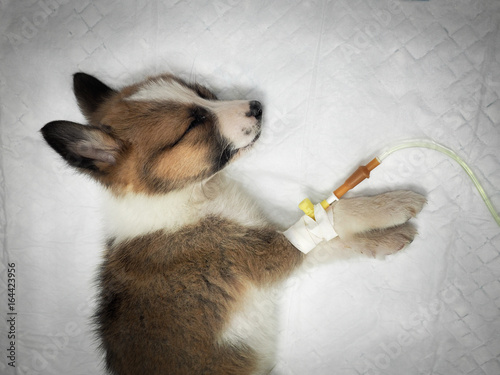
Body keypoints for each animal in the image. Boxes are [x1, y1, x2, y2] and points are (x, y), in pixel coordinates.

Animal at [42, 72, 426, 374]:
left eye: (202, 91)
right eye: (193, 124)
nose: (256, 105)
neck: (194, 193)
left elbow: (335, 241)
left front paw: (385, 239)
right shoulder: (264, 256)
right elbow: (334, 218)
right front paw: (394, 204)